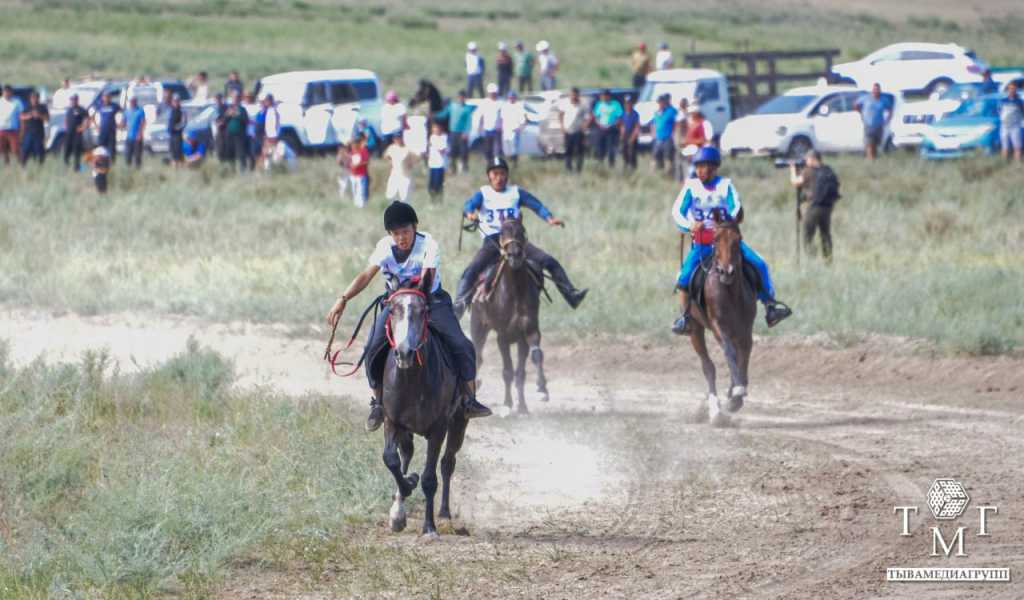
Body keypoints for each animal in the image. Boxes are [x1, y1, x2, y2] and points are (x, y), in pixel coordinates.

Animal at [380, 286, 468, 536]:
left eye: (423, 312)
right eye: (392, 310)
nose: (404, 353)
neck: (413, 379)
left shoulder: (438, 428)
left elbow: (430, 478)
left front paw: (429, 527)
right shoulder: (392, 420)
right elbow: (391, 459)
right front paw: (406, 488)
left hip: (458, 423)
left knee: (447, 463)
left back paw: (444, 513)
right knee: (406, 454)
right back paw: (399, 507)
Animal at [471, 217, 552, 413]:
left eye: (522, 231)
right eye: (502, 232)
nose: (514, 254)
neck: (514, 292)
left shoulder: (528, 332)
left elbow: (527, 366)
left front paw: (536, 395)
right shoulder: (503, 336)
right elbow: (507, 372)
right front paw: (508, 405)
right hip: (478, 326)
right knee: (477, 355)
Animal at [684, 210, 757, 425]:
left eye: (738, 239)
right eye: (716, 239)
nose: (727, 271)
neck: (730, 293)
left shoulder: (745, 330)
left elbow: (744, 357)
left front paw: (735, 396)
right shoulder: (719, 327)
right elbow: (729, 353)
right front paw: (734, 395)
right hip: (695, 329)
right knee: (708, 367)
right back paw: (714, 410)